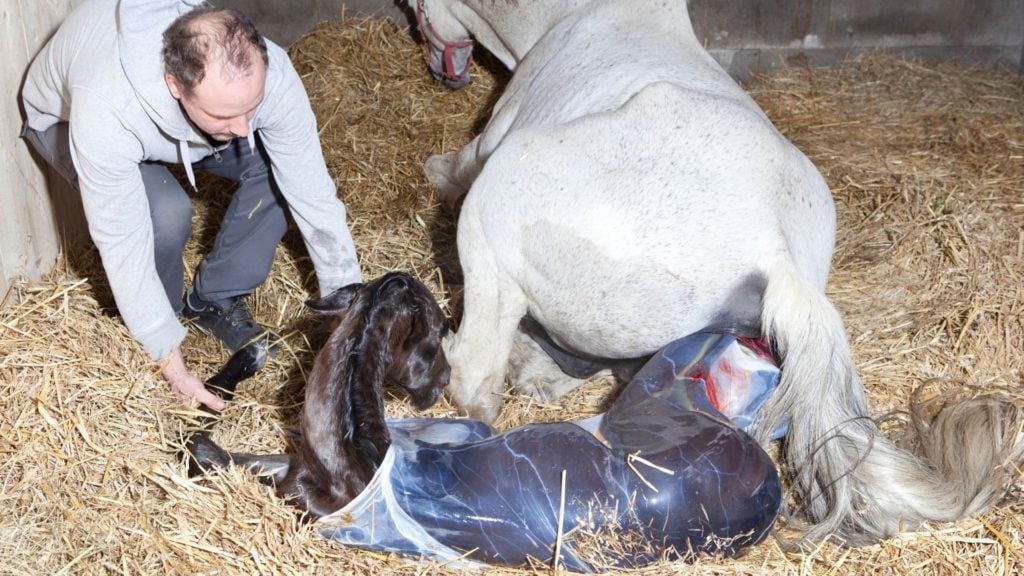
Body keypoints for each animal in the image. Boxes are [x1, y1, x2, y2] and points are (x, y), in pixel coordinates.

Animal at [405, 0, 1024, 545]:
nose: (440, 69)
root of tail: (775, 255)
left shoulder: (484, 153)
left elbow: (446, 169)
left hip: (498, 207)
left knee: (477, 373)